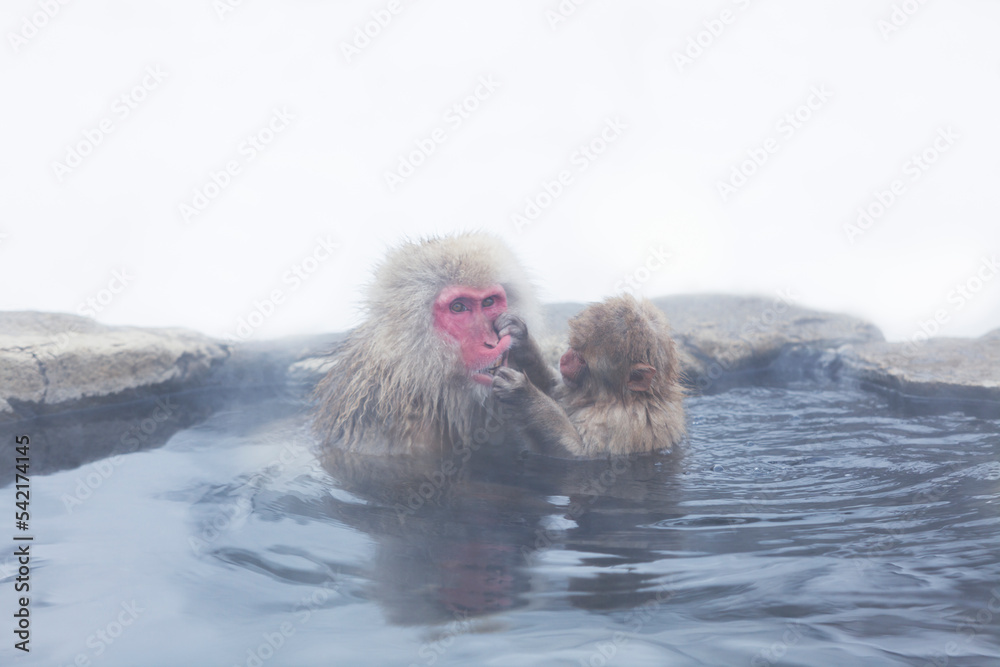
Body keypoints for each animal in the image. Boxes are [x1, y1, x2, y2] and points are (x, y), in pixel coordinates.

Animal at [492, 296, 688, 460]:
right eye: (572, 346)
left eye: (581, 359)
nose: (564, 359)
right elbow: (555, 389)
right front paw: (519, 337)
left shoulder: (623, 422)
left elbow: (581, 454)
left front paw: (521, 393)